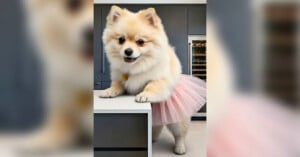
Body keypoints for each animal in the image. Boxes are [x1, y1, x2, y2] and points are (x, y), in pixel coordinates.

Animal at [100, 5, 190, 155]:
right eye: (121, 40)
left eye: (140, 42)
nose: (128, 51)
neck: (135, 67)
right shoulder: (120, 78)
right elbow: (117, 85)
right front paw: (108, 91)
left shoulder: (160, 79)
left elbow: (151, 85)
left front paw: (144, 95)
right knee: (156, 127)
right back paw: (153, 139)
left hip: (175, 118)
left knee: (180, 133)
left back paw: (180, 147)